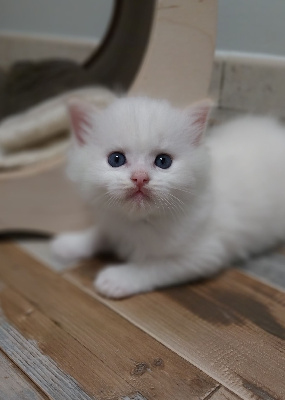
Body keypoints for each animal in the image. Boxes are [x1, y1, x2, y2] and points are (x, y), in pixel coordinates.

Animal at [51, 97, 285, 296]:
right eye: (116, 159)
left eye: (163, 161)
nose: (140, 178)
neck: (139, 222)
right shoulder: (114, 222)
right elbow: (100, 234)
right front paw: (71, 244)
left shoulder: (204, 254)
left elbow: (153, 266)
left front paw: (117, 279)